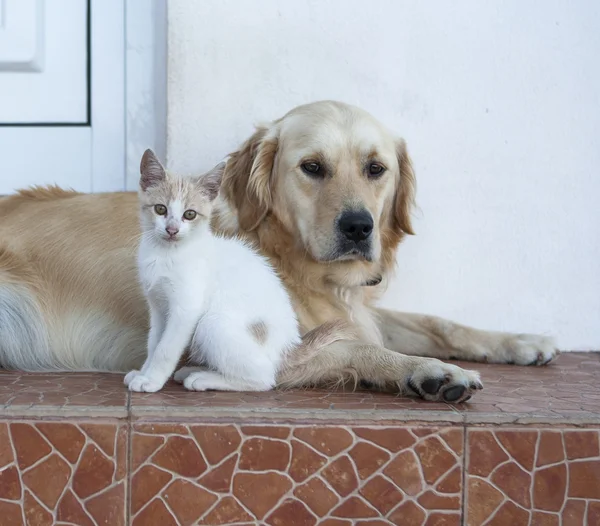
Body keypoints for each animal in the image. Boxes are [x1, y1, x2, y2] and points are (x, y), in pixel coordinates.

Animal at [126, 151, 304, 394]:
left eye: (189, 214)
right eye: (160, 209)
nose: (172, 230)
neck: (165, 254)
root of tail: (286, 348)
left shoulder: (186, 308)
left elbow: (166, 348)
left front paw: (151, 380)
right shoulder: (159, 307)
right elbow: (154, 342)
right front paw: (143, 372)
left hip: (211, 323)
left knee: (264, 378)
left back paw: (202, 379)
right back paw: (193, 371)